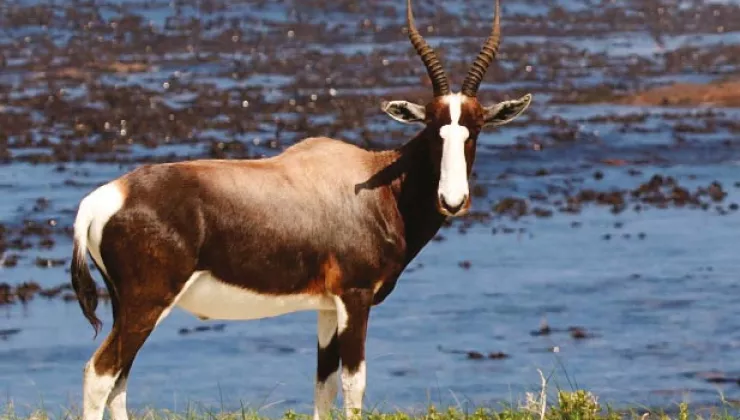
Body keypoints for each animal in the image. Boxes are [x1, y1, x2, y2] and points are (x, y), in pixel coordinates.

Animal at [70, 0, 532, 419]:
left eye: (474, 129)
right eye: (433, 128)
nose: (452, 200)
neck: (374, 183)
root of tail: (105, 197)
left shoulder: (327, 308)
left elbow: (323, 387)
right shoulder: (354, 298)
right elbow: (354, 384)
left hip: (127, 306)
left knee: (119, 382)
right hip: (147, 303)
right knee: (100, 373)